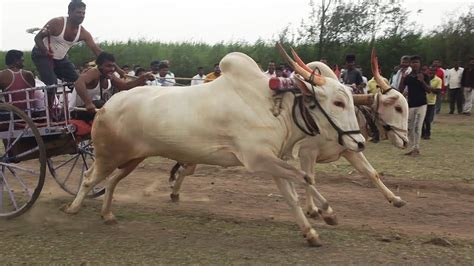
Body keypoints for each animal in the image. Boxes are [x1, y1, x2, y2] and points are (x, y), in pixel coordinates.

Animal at [63, 47, 364, 245]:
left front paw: (310, 231)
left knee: (112, 182)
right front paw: (327, 213)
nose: (360, 142)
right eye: (338, 102)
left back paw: (107, 214)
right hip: (107, 156)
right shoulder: (258, 160)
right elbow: (305, 177)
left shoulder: (273, 162)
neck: (273, 104)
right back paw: (73, 209)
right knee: (89, 178)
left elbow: (292, 195)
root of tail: (106, 105)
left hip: (131, 159)